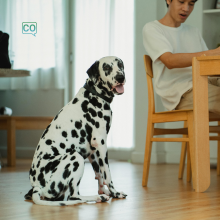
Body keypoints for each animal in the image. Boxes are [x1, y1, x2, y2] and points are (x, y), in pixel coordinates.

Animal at [24, 55, 127, 205]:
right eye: (107, 67)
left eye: (120, 65)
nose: (120, 77)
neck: (94, 94)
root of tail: (37, 186)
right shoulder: (101, 144)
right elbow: (107, 174)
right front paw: (115, 193)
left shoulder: (93, 150)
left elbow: (99, 175)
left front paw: (104, 191)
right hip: (76, 157)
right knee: (73, 196)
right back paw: (97, 197)